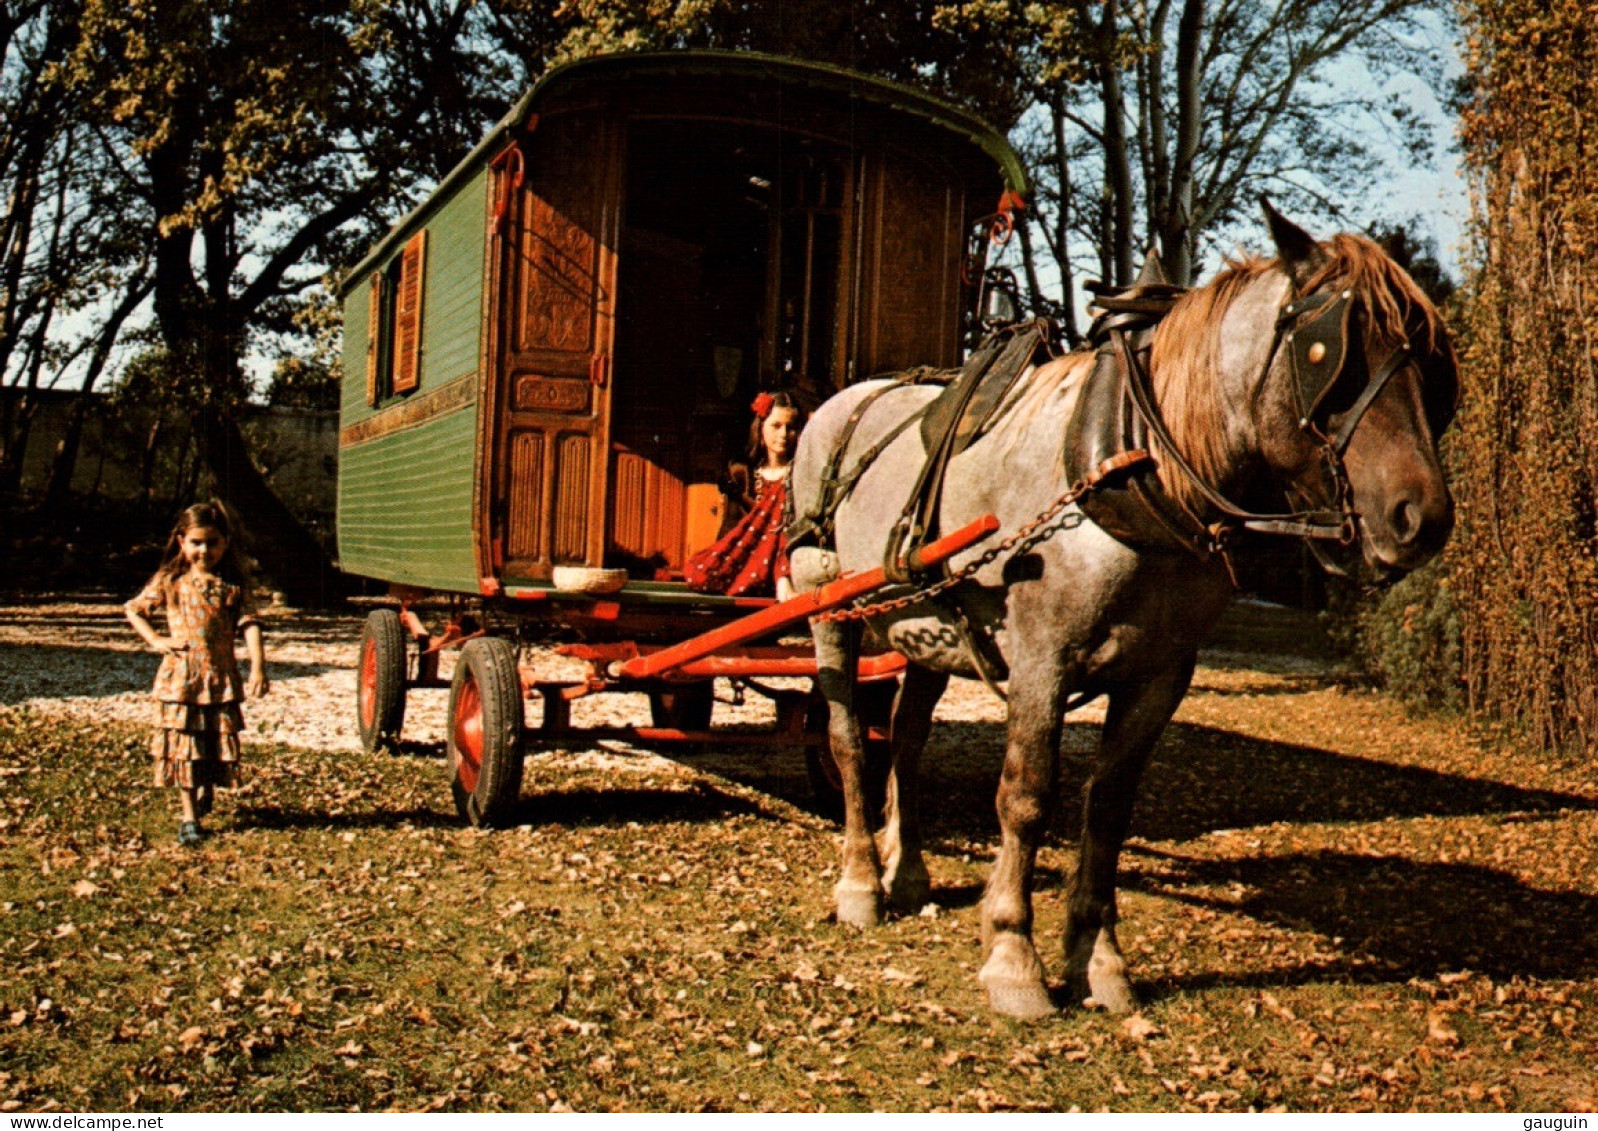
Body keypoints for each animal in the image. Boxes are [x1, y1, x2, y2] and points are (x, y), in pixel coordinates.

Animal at [786, 198, 1463, 1022]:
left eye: (1431, 365)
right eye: (1329, 354)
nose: (1421, 518)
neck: (1135, 467)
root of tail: (845, 398)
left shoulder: (1158, 675)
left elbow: (1107, 809)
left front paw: (1098, 959)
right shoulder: (1042, 661)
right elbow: (1026, 796)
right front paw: (1013, 954)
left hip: (932, 631)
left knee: (907, 739)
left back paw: (906, 869)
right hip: (828, 606)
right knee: (852, 737)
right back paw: (859, 882)